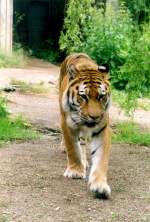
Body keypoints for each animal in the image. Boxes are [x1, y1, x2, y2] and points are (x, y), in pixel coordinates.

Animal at [58, 53, 111, 199]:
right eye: (83, 96)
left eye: (101, 96)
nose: (95, 117)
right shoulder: (67, 124)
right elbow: (72, 149)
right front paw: (75, 171)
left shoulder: (103, 129)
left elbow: (101, 158)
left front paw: (100, 185)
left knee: (81, 142)